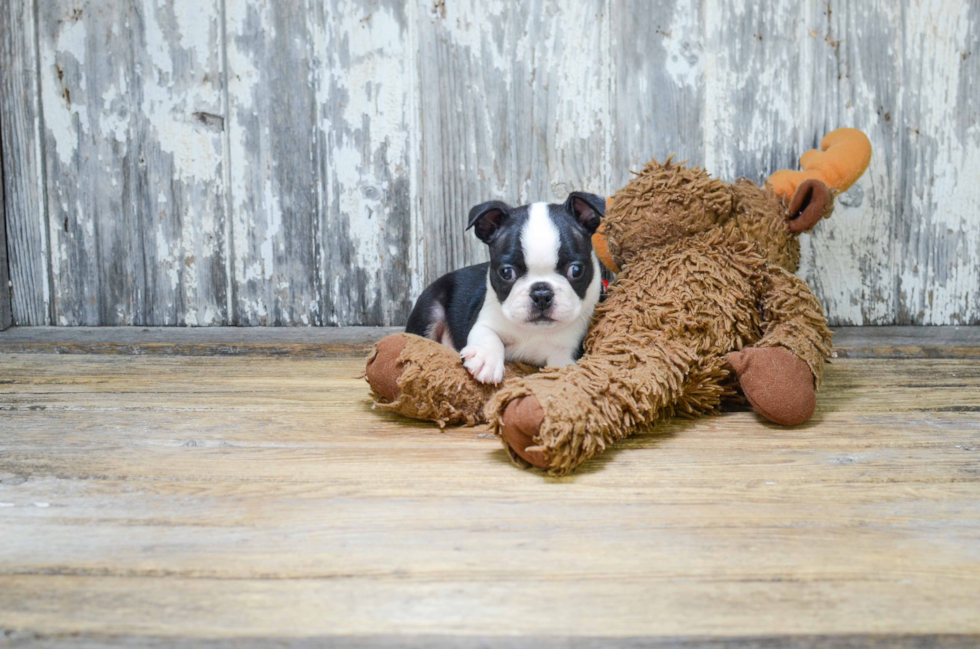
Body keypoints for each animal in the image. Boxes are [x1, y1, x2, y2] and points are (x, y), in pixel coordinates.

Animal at [404, 192, 604, 384]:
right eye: (507, 272)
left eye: (576, 270)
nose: (541, 294)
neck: (534, 330)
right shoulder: (484, 319)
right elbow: (489, 336)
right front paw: (485, 359)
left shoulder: (566, 352)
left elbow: (561, 370)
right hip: (431, 310)